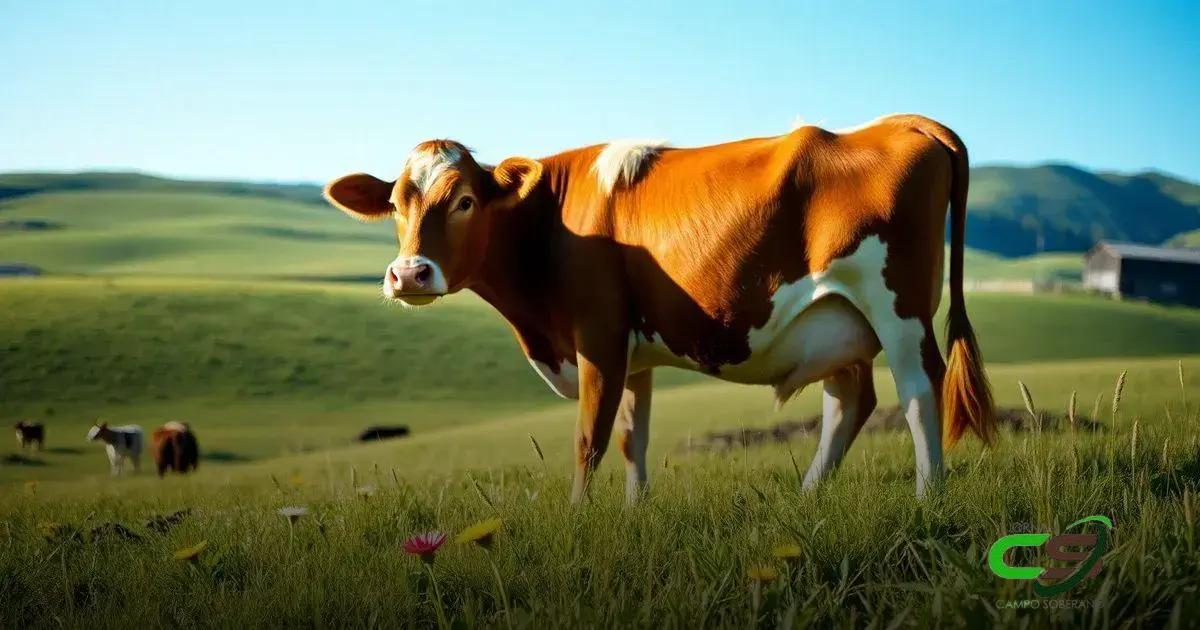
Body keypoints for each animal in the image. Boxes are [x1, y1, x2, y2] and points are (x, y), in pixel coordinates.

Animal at [324, 114, 997, 502]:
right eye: (396, 204)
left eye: (464, 200)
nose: (409, 274)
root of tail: (904, 122)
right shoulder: (634, 353)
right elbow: (631, 438)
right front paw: (633, 514)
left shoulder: (598, 334)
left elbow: (589, 439)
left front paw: (579, 521)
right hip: (836, 319)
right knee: (850, 401)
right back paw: (809, 498)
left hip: (896, 306)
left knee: (919, 390)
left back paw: (928, 500)